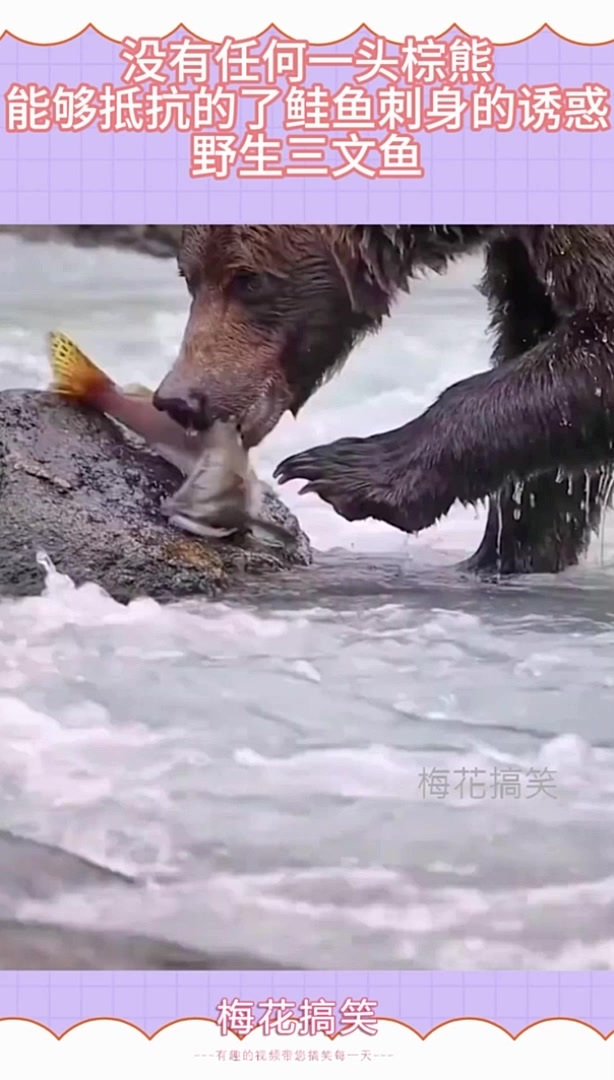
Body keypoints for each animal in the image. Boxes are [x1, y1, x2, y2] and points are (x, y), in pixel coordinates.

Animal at [152, 225, 614, 575]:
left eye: (250, 280)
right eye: (189, 277)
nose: (181, 399)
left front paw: (340, 470)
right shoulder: (521, 257)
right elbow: (531, 331)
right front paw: (503, 554)